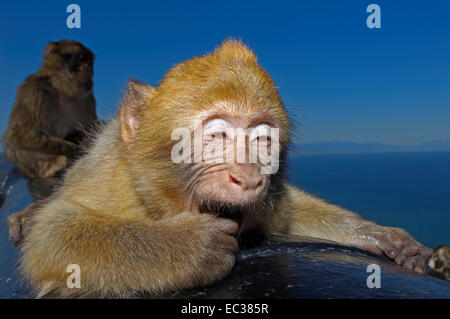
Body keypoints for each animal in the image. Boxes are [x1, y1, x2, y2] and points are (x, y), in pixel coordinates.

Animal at [2, 39, 100, 180]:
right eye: (80, 59)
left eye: (89, 62)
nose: (88, 68)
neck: (64, 90)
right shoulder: (35, 90)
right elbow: (22, 134)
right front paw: (76, 150)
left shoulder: (89, 100)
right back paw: (52, 167)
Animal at [15, 40, 432, 300]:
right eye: (217, 135)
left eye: (262, 140)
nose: (247, 178)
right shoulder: (115, 181)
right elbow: (53, 233)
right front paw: (190, 247)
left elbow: (284, 214)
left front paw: (383, 236)